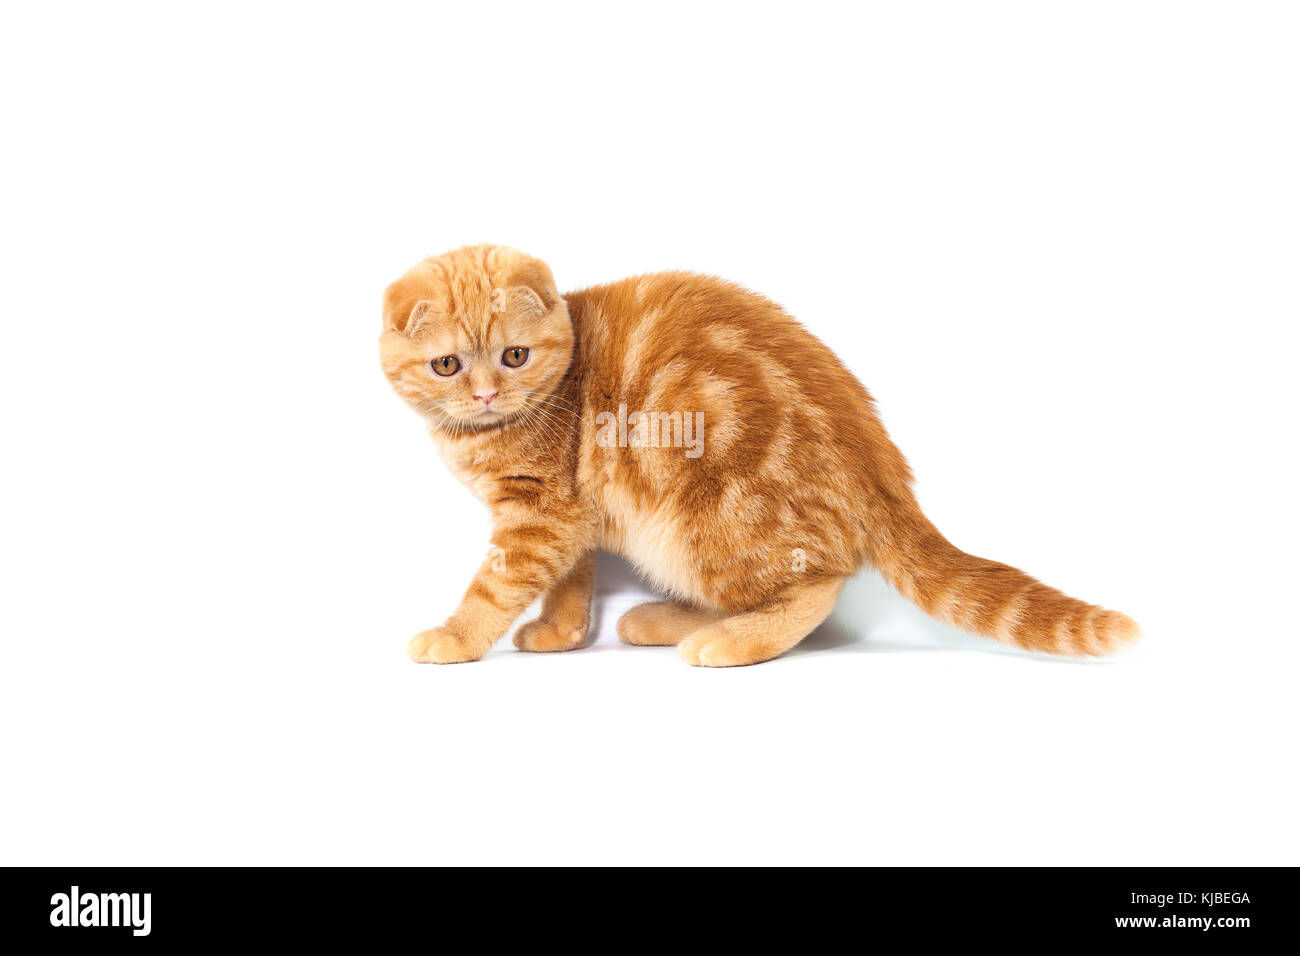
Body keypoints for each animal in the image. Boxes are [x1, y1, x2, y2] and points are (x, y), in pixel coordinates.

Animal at [379, 243, 1138, 671]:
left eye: (514, 356)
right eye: (447, 364)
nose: (484, 393)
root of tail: (880, 465)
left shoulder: (539, 514)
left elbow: (496, 585)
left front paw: (456, 636)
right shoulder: (570, 511)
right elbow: (569, 580)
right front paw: (560, 634)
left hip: (700, 519)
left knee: (814, 586)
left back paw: (728, 641)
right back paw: (663, 621)